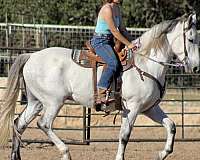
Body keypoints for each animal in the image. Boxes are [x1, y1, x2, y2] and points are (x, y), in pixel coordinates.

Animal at [0, 12, 199, 160]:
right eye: (190, 39)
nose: (196, 67)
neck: (146, 64)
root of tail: (31, 56)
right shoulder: (132, 107)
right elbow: (124, 135)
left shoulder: (149, 108)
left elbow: (171, 126)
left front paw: (161, 154)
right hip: (53, 102)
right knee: (44, 124)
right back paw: (65, 153)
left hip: (36, 102)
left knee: (19, 124)